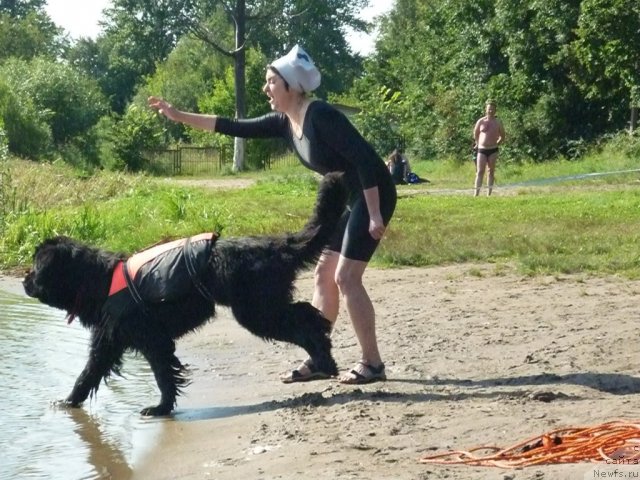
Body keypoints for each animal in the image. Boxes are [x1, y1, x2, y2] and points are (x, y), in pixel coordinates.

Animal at [23, 172, 344, 416]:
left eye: (36, 266)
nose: (25, 280)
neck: (99, 281)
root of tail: (279, 244)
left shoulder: (152, 339)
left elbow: (163, 375)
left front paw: (160, 408)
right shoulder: (109, 340)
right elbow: (88, 373)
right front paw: (67, 402)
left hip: (257, 311)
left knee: (306, 323)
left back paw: (324, 361)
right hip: (266, 306)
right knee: (309, 315)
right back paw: (324, 357)